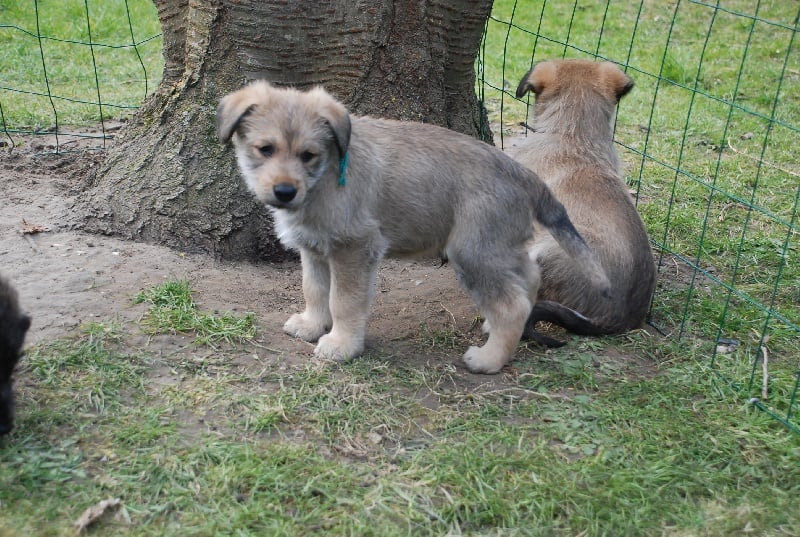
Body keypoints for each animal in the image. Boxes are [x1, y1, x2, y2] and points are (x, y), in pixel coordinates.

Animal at [217, 81, 610, 373]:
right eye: (265, 149)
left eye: (308, 155)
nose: (284, 192)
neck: (326, 175)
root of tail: (525, 175)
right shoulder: (315, 251)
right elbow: (314, 291)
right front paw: (312, 325)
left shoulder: (354, 250)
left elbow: (343, 301)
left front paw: (342, 345)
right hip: (497, 248)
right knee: (527, 278)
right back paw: (494, 327)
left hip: (473, 253)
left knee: (511, 304)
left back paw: (489, 359)